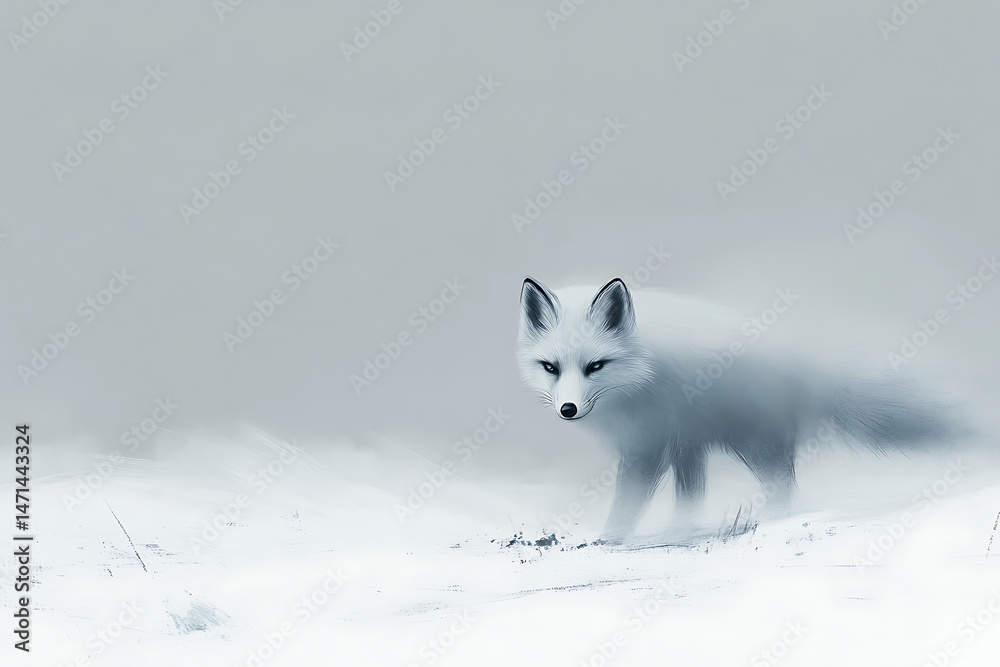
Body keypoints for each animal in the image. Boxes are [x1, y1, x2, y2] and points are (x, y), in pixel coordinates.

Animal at [516, 276, 968, 543]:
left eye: (596, 366)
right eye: (550, 367)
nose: (568, 409)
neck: (641, 374)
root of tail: (797, 356)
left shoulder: (647, 445)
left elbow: (626, 502)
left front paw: (610, 540)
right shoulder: (671, 441)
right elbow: (681, 494)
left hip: (753, 443)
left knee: (784, 489)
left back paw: (771, 527)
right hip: (699, 443)